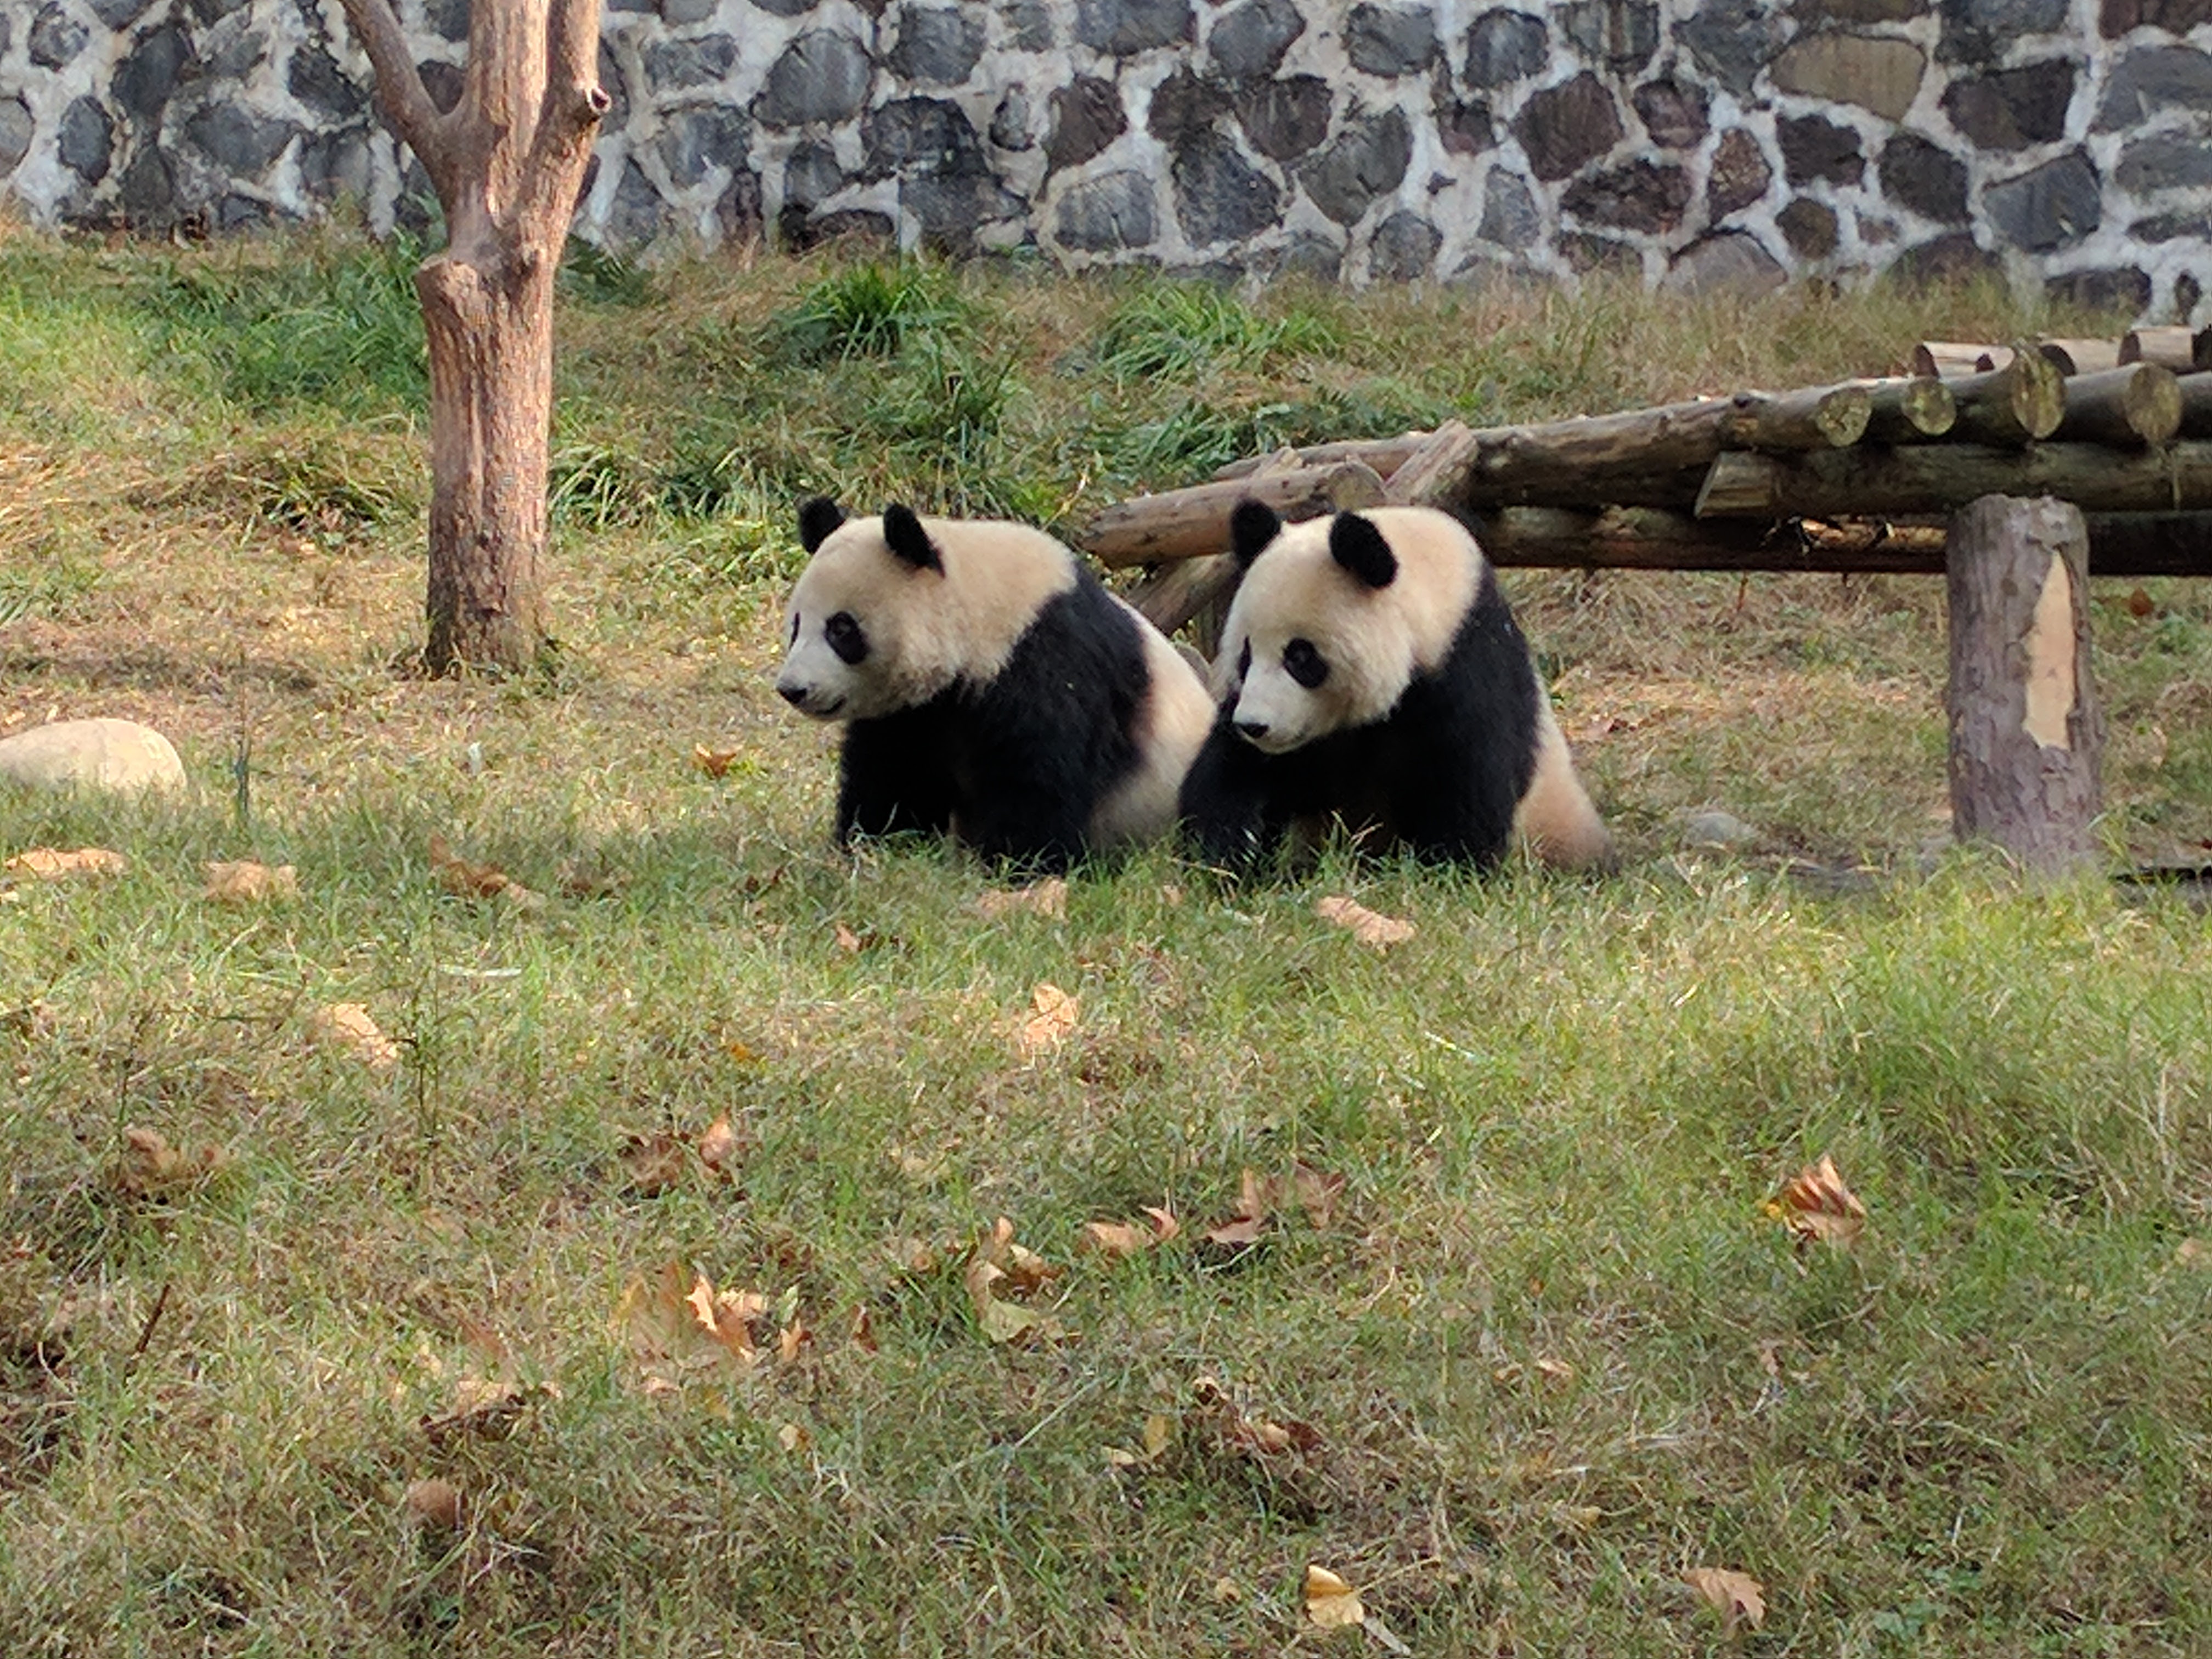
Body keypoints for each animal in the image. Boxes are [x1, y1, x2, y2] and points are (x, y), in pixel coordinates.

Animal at [775, 498, 1216, 872]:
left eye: (841, 629)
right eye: (796, 625)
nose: (793, 689)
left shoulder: (1048, 661)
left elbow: (1037, 777)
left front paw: (1014, 865)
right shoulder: (918, 712)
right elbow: (895, 772)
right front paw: (874, 845)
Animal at [1179, 500, 1613, 872]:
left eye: (1300, 657)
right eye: (1246, 654)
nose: (1254, 725)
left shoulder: (1467, 668)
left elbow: (1468, 788)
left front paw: (1439, 868)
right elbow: (1234, 776)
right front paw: (1230, 855)